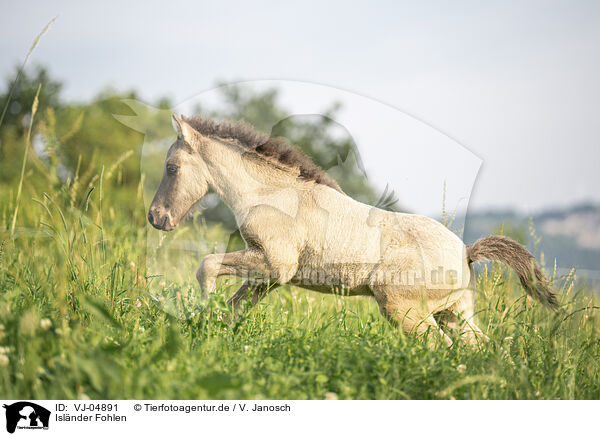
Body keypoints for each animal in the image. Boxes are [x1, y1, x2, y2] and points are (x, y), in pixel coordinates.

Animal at [149, 114, 556, 346]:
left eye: (171, 167)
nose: (156, 217)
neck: (272, 195)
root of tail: (466, 251)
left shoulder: (274, 264)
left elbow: (207, 265)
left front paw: (200, 308)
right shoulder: (268, 275)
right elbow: (234, 307)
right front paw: (208, 329)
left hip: (404, 309)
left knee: (439, 347)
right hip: (455, 313)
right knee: (482, 347)